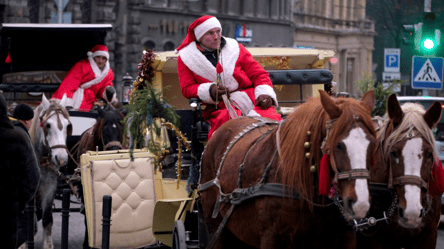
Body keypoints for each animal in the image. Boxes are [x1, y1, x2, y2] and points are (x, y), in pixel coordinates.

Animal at [28, 93, 71, 249]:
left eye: (67, 125)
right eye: (48, 125)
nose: (62, 158)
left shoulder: (50, 187)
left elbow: (47, 219)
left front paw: (47, 244)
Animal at [201, 90, 378, 249]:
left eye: (373, 143)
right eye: (339, 145)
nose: (361, 203)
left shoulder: (346, 237)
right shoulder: (271, 238)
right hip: (217, 229)